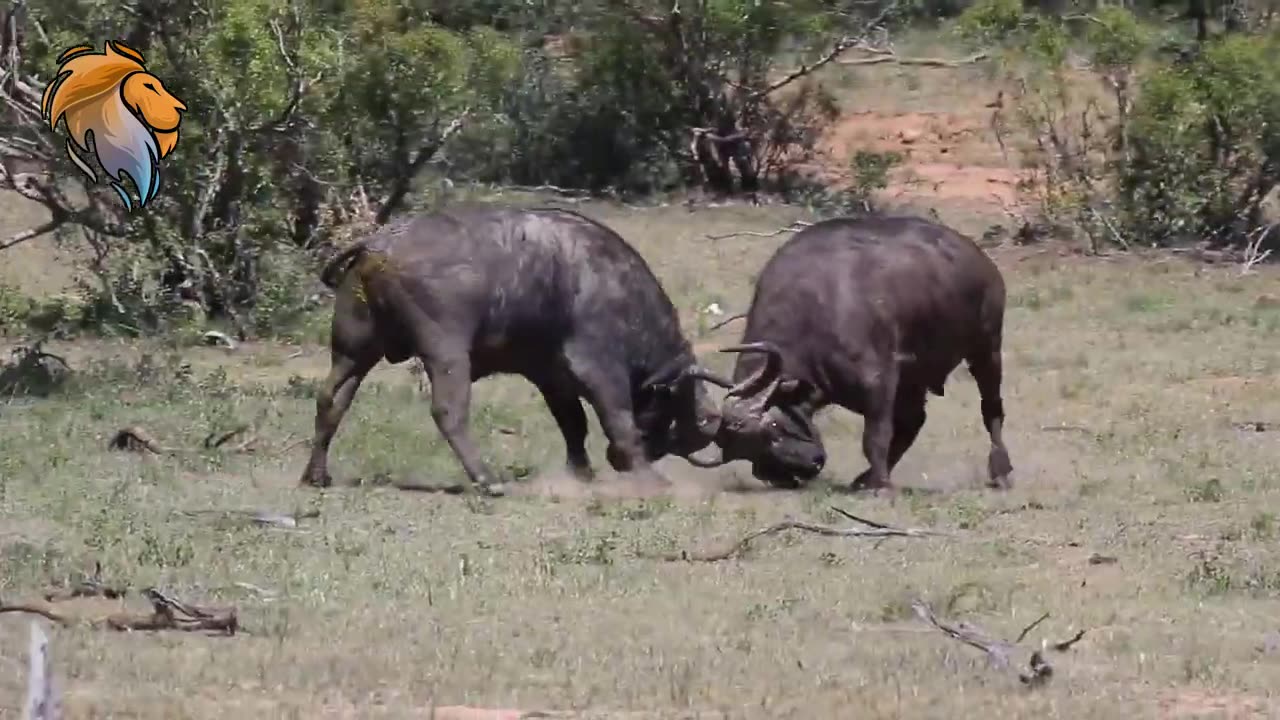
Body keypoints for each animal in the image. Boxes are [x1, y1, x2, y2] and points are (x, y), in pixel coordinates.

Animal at [300, 204, 737, 489]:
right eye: (672, 420)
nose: (618, 463)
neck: (615, 287)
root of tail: (379, 243)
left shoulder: (552, 377)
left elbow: (573, 424)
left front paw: (581, 473)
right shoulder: (599, 369)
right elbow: (618, 419)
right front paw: (649, 476)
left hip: (353, 350)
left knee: (330, 400)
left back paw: (316, 475)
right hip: (447, 352)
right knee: (448, 411)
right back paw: (486, 478)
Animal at [696, 212, 1013, 491]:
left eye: (773, 427)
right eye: (752, 451)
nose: (810, 465)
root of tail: (982, 260)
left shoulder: (879, 381)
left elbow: (875, 437)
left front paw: (881, 486)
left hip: (986, 348)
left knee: (991, 409)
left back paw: (1001, 471)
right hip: (916, 375)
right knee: (914, 421)